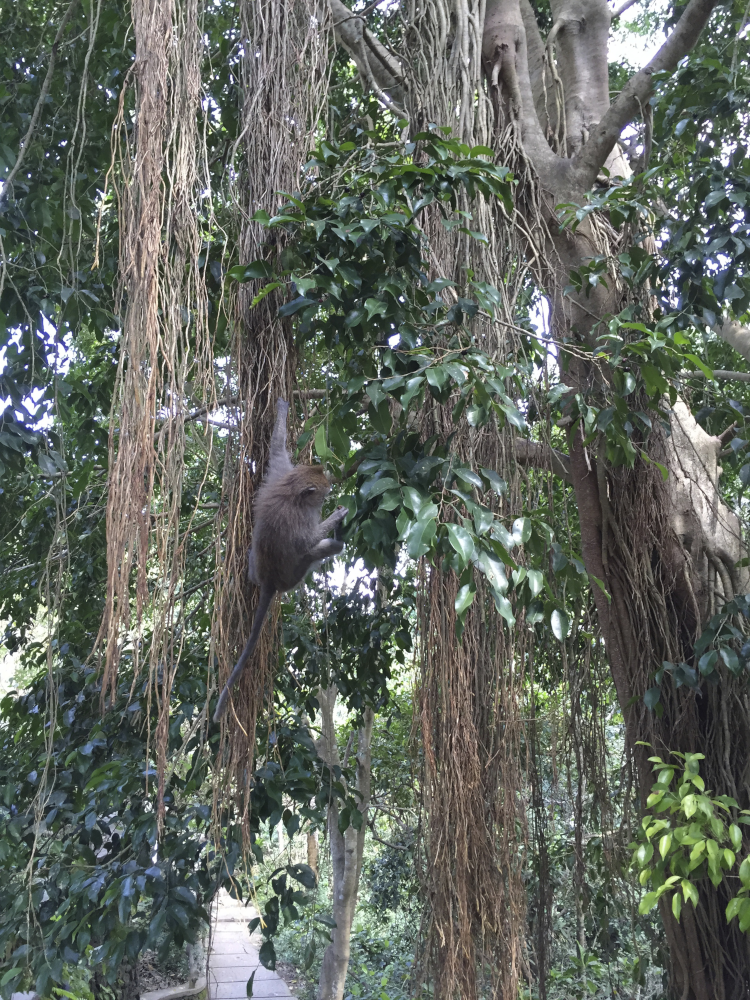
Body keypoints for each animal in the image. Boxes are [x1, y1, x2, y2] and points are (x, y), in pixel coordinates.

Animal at [213, 394, 348, 724]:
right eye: (323, 494)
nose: (330, 495)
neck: (292, 491)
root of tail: (271, 581)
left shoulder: (280, 473)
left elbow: (276, 450)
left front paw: (282, 409)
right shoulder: (297, 519)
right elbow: (308, 541)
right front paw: (337, 517)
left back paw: (249, 574)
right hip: (295, 576)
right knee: (317, 551)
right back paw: (337, 541)